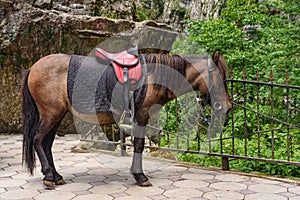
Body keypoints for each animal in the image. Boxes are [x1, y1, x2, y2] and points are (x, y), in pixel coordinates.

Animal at [21, 49, 232, 189]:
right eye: (220, 77)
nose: (228, 107)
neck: (153, 76)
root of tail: (33, 68)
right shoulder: (141, 114)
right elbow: (138, 144)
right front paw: (140, 176)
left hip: (56, 114)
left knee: (46, 143)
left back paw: (56, 176)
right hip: (51, 113)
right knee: (38, 139)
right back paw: (49, 177)